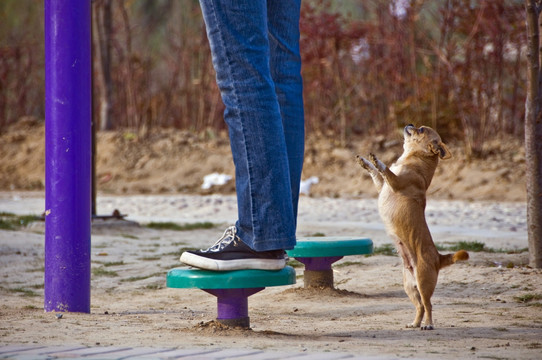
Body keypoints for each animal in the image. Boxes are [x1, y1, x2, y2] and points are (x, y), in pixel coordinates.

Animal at [360, 124, 470, 330]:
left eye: (422, 130)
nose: (410, 124)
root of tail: (439, 258)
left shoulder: (395, 182)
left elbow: (385, 170)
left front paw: (377, 160)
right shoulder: (382, 186)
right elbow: (377, 174)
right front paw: (365, 162)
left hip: (424, 283)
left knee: (428, 305)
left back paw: (428, 324)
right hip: (409, 287)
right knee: (419, 306)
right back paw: (415, 323)